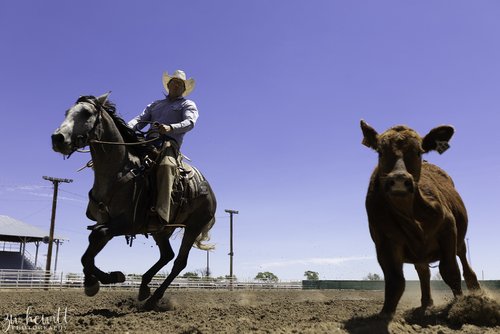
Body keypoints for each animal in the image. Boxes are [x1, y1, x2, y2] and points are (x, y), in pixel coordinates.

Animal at [51, 92, 218, 310]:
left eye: (86, 113)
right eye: (67, 112)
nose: (58, 138)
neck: (119, 172)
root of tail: (210, 192)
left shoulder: (129, 223)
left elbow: (96, 238)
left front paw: (108, 278)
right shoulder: (106, 222)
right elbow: (90, 248)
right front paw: (95, 281)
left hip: (193, 226)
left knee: (179, 262)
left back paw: (154, 298)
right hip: (161, 230)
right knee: (167, 255)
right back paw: (144, 288)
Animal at [362, 119, 478, 316]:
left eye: (418, 151)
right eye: (380, 152)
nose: (399, 180)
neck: (412, 216)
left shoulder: (448, 229)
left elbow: (450, 271)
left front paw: (460, 305)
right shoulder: (384, 241)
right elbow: (395, 280)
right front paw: (385, 313)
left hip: (460, 240)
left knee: (465, 265)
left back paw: (475, 291)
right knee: (423, 272)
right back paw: (426, 303)